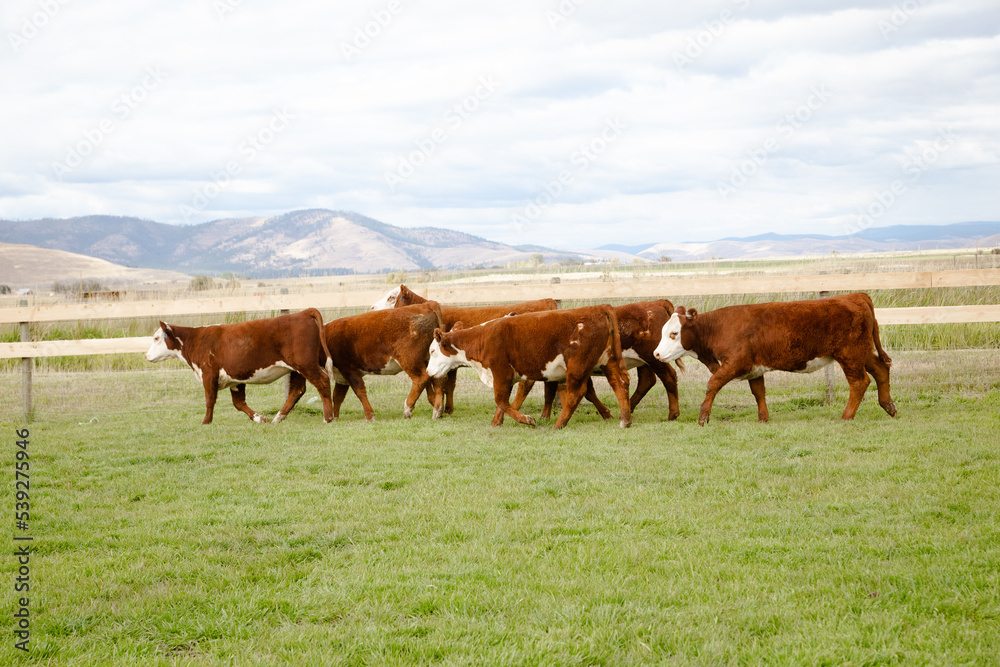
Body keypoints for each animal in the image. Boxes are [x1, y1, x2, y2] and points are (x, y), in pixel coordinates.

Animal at [145, 308, 334, 422]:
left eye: (156, 338)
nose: (146, 356)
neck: (196, 339)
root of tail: (303, 312)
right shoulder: (235, 380)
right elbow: (239, 403)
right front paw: (260, 418)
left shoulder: (208, 373)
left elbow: (209, 400)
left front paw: (206, 422)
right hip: (296, 368)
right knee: (297, 391)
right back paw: (278, 418)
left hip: (306, 364)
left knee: (323, 382)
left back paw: (328, 418)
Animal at [376, 284, 564, 414]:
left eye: (391, 297)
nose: (372, 308)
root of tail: (547, 301)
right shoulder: (449, 363)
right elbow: (450, 385)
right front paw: (448, 409)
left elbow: (443, 383)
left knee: (526, 384)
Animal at [424, 306, 628, 430]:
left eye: (432, 350)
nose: (428, 372)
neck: (483, 337)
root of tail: (598, 308)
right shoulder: (507, 377)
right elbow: (504, 402)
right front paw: (496, 422)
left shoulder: (501, 373)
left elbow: (501, 401)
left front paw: (527, 419)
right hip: (608, 361)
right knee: (620, 383)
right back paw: (625, 420)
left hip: (578, 367)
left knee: (576, 393)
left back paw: (559, 424)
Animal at [652, 294, 904, 428]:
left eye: (674, 333)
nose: (656, 354)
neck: (717, 328)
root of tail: (855, 296)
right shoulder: (754, 368)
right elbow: (759, 392)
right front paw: (763, 419)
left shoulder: (735, 364)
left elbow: (712, 384)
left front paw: (703, 418)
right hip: (862, 352)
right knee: (881, 369)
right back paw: (889, 407)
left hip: (849, 355)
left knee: (859, 382)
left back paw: (846, 416)